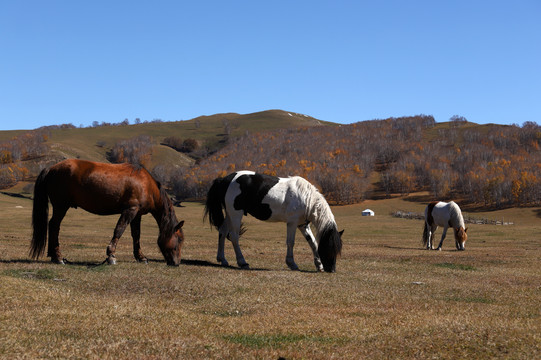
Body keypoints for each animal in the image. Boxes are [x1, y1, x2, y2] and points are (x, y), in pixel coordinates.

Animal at [30, 159, 186, 266]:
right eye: (178, 239)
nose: (176, 263)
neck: (146, 185)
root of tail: (51, 168)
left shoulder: (137, 214)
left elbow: (136, 235)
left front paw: (141, 257)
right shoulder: (130, 210)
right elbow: (119, 230)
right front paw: (111, 256)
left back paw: (53, 254)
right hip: (61, 206)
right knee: (54, 225)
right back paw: (58, 257)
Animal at [202, 170, 342, 272]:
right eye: (330, 247)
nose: (332, 270)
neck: (306, 197)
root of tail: (224, 179)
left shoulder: (302, 224)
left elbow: (312, 243)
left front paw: (319, 265)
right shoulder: (292, 223)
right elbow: (290, 242)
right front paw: (292, 264)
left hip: (229, 214)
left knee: (222, 231)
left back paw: (222, 259)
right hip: (236, 214)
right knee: (234, 236)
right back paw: (242, 262)